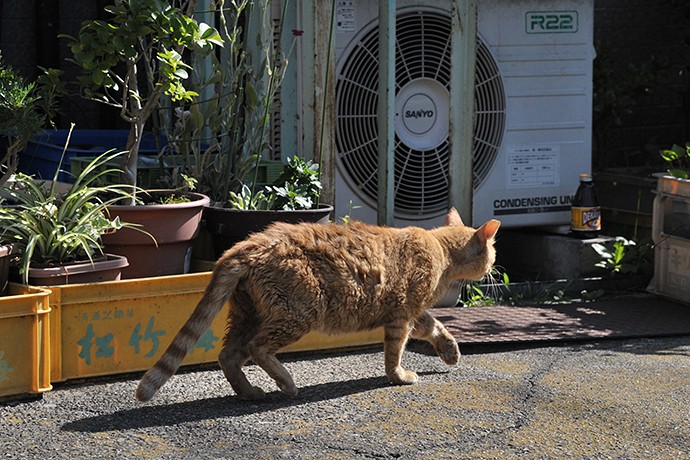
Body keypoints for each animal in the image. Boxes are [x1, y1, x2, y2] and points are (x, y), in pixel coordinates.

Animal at [137, 208, 498, 402]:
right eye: (493, 253)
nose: (494, 268)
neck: (440, 250)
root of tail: (246, 245)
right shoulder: (402, 316)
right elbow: (395, 353)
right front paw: (398, 376)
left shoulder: (411, 313)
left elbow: (436, 326)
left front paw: (451, 351)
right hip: (298, 313)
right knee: (257, 348)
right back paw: (286, 383)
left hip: (247, 315)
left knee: (228, 355)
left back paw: (249, 392)